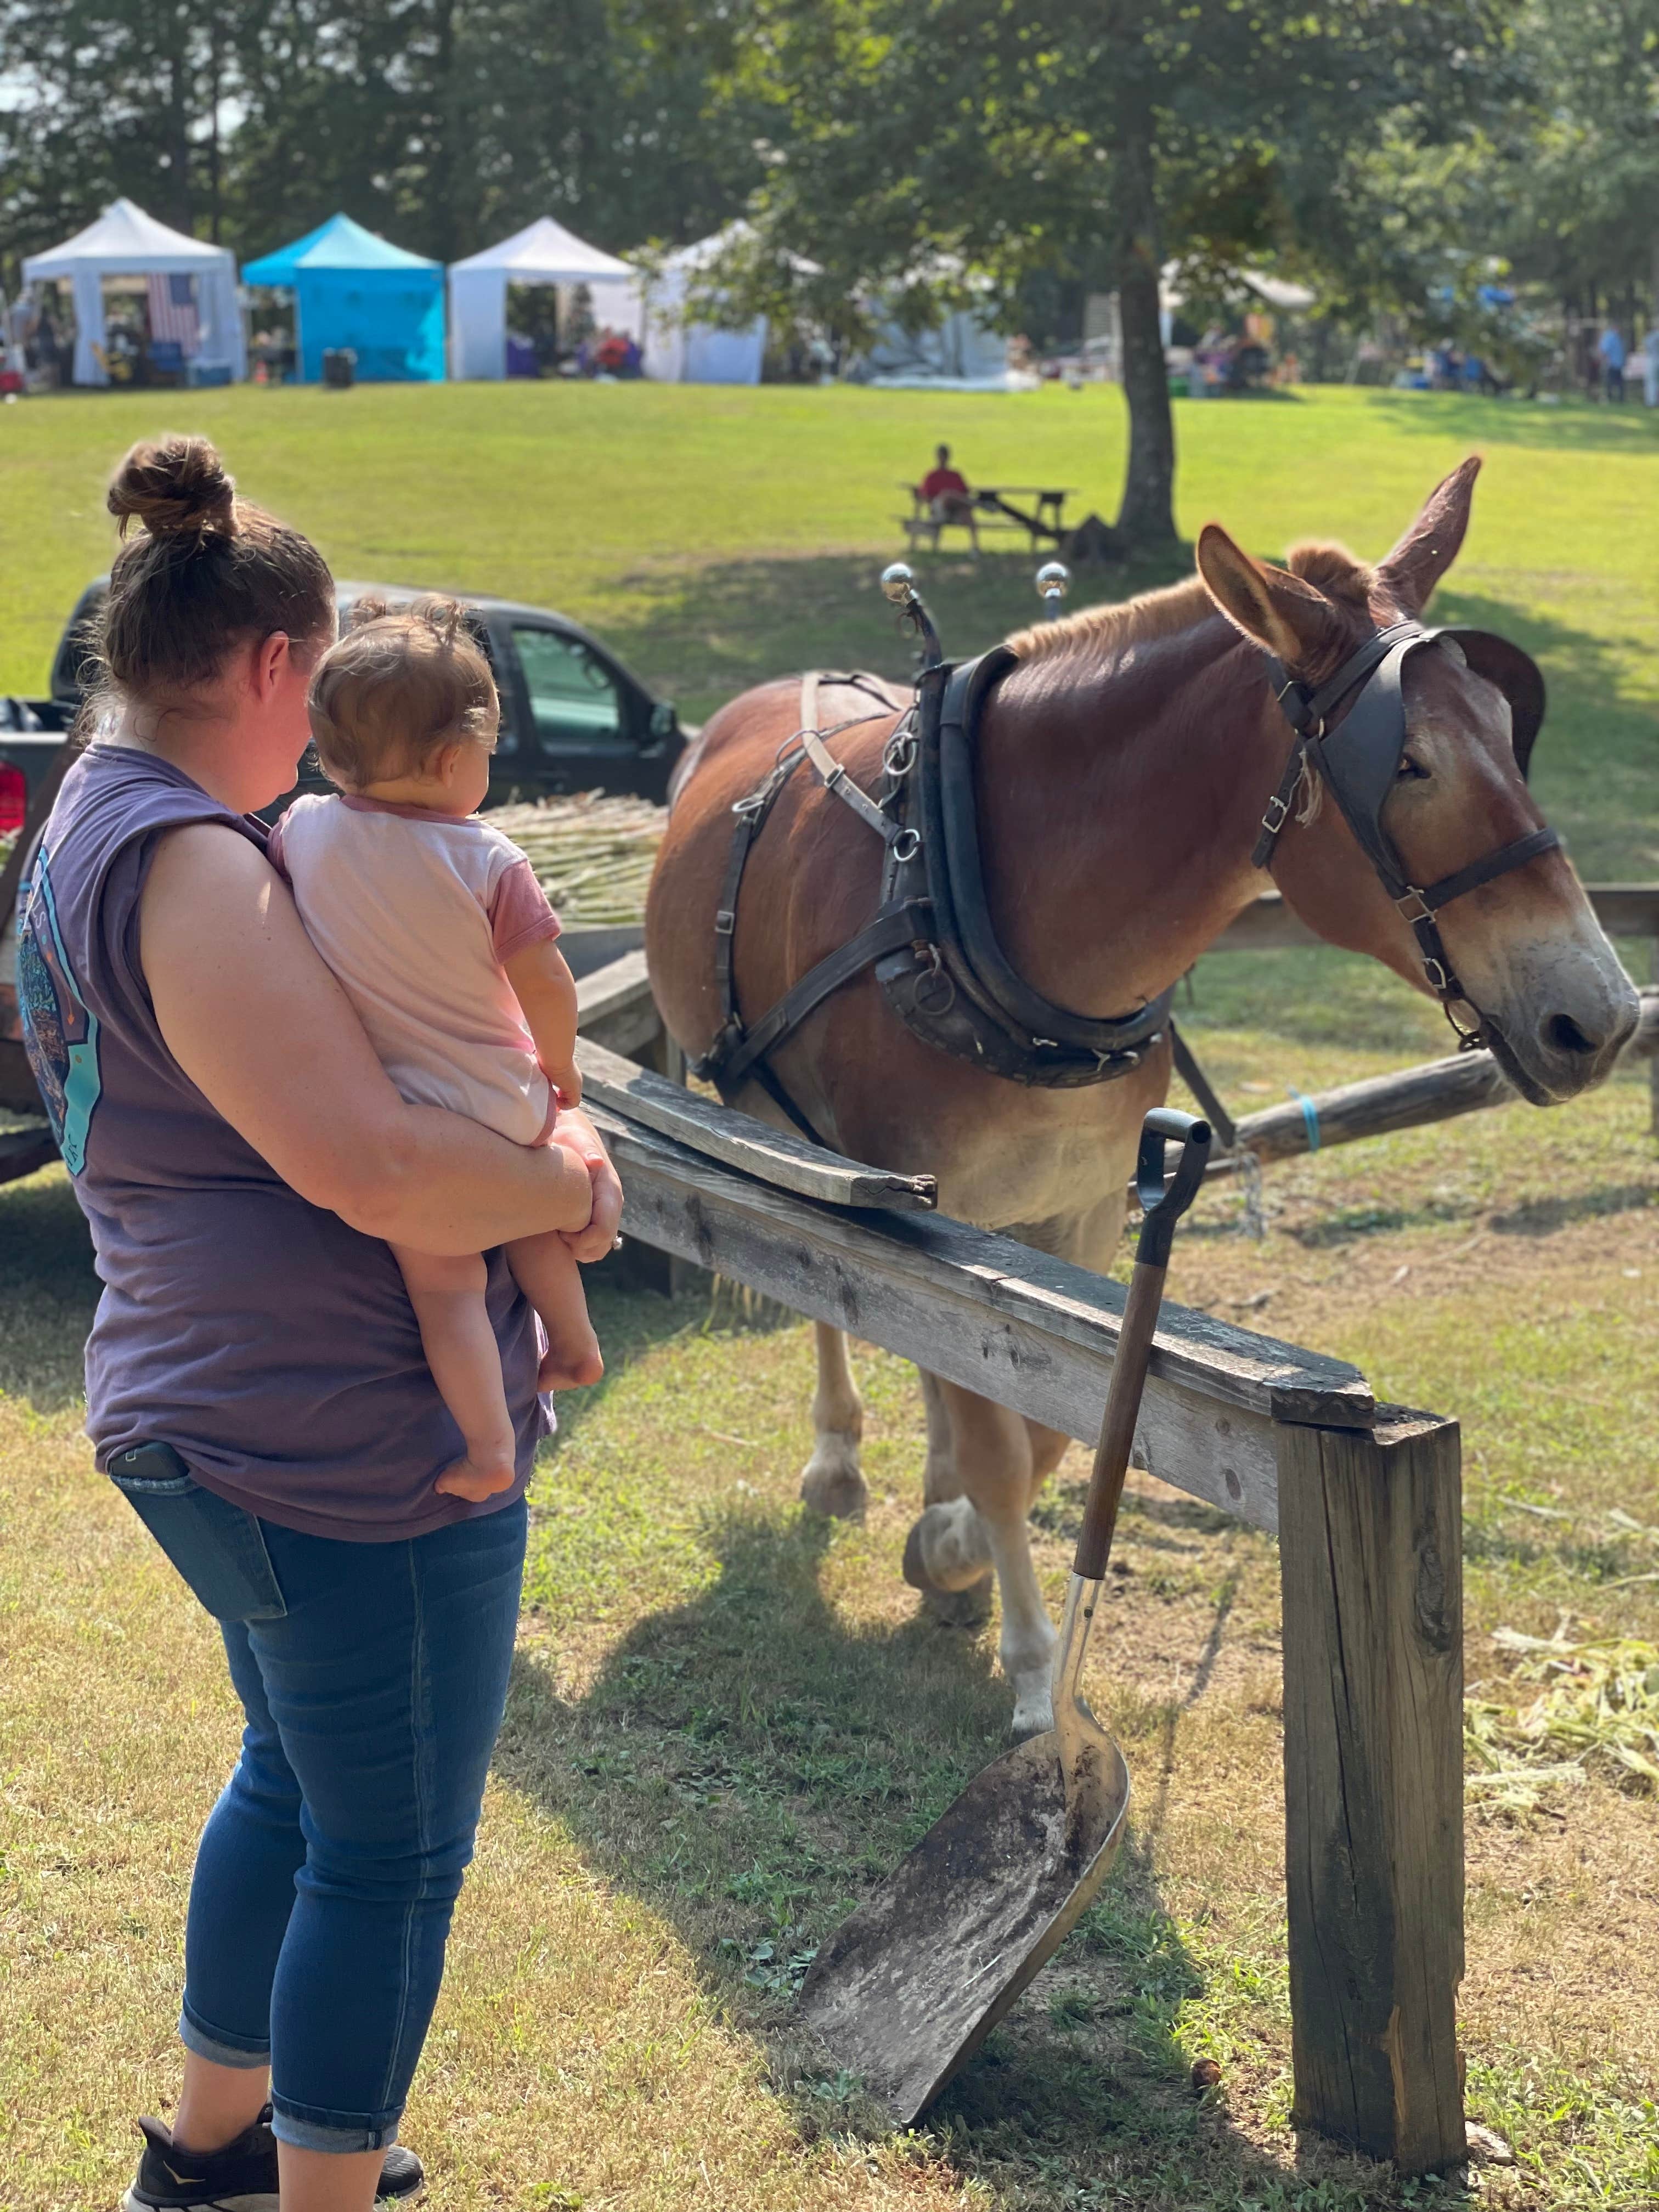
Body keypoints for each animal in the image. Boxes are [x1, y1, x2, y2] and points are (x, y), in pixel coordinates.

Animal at [645, 458, 1640, 1737]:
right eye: (1409, 764)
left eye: (1512, 740)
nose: (1599, 1015)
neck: (968, 890)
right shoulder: (928, 1205)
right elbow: (994, 1434)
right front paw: (1028, 1659)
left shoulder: (1077, 1208)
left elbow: (1044, 1427)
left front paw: (952, 1540)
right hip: (782, 1132)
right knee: (830, 1302)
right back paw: (839, 1461)